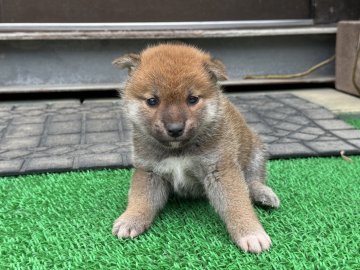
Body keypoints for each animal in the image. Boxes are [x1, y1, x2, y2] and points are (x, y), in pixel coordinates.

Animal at [111, 42, 280, 253]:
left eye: (192, 99)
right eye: (152, 101)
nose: (175, 129)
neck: (178, 150)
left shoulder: (220, 169)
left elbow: (236, 203)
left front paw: (251, 232)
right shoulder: (149, 171)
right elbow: (141, 199)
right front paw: (131, 219)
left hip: (256, 151)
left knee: (253, 180)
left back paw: (264, 194)